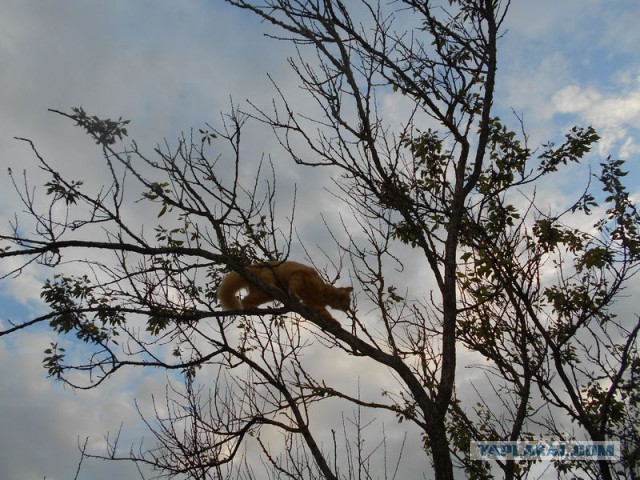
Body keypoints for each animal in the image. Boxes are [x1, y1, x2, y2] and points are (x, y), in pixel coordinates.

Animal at [218, 260, 352, 316]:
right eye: (349, 300)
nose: (349, 308)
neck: (323, 291)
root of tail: (252, 267)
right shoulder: (298, 275)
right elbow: (293, 289)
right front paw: (294, 296)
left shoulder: (315, 304)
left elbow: (326, 314)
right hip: (269, 276)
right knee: (268, 281)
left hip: (265, 294)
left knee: (246, 299)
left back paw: (250, 307)